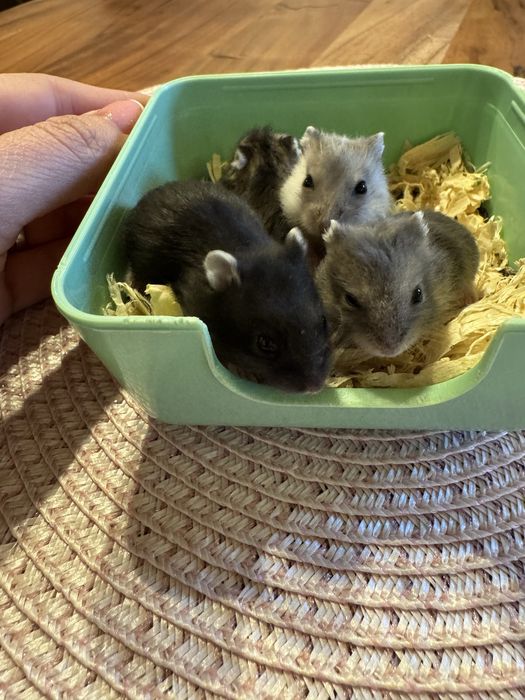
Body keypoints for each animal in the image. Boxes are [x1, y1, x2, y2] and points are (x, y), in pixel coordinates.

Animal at [123, 180, 331, 393]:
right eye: (264, 343)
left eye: (324, 321)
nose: (316, 387)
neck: (247, 247)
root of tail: (153, 192)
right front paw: (244, 371)